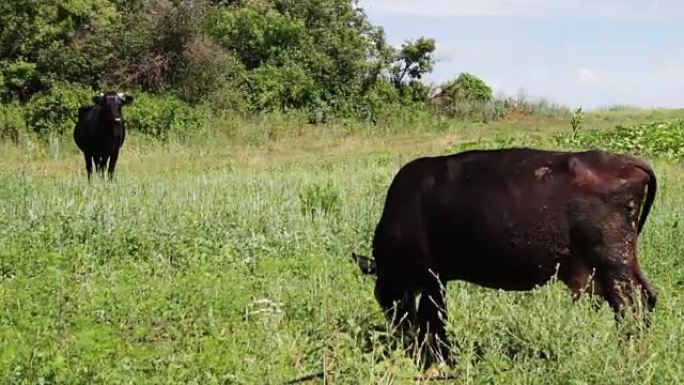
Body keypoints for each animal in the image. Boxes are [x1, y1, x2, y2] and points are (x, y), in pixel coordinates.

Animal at [352, 147, 656, 366]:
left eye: (384, 296)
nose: (399, 335)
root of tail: (625, 161)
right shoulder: (436, 279)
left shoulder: (431, 278)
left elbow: (433, 320)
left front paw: (438, 360)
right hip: (622, 264)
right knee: (648, 297)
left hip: (613, 265)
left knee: (631, 307)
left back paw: (629, 354)